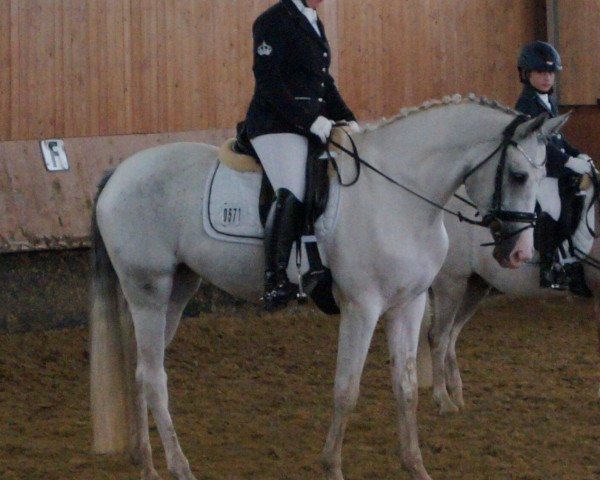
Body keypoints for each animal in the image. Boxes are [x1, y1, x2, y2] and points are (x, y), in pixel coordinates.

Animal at [89, 94, 568, 480]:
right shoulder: (362, 306)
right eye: (521, 176)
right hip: (149, 292)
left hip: (177, 289)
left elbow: (406, 387)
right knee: (154, 377)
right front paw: (332, 466)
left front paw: (415, 466)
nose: (519, 254)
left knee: (141, 370)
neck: (399, 195)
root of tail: (119, 172)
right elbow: (346, 389)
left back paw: (146, 462)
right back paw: (179, 467)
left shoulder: (409, 304)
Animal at [424, 186, 596, 414]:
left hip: (475, 286)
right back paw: (444, 400)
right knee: (438, 337)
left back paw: (457, 395)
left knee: (452, 335)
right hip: (450, 284)